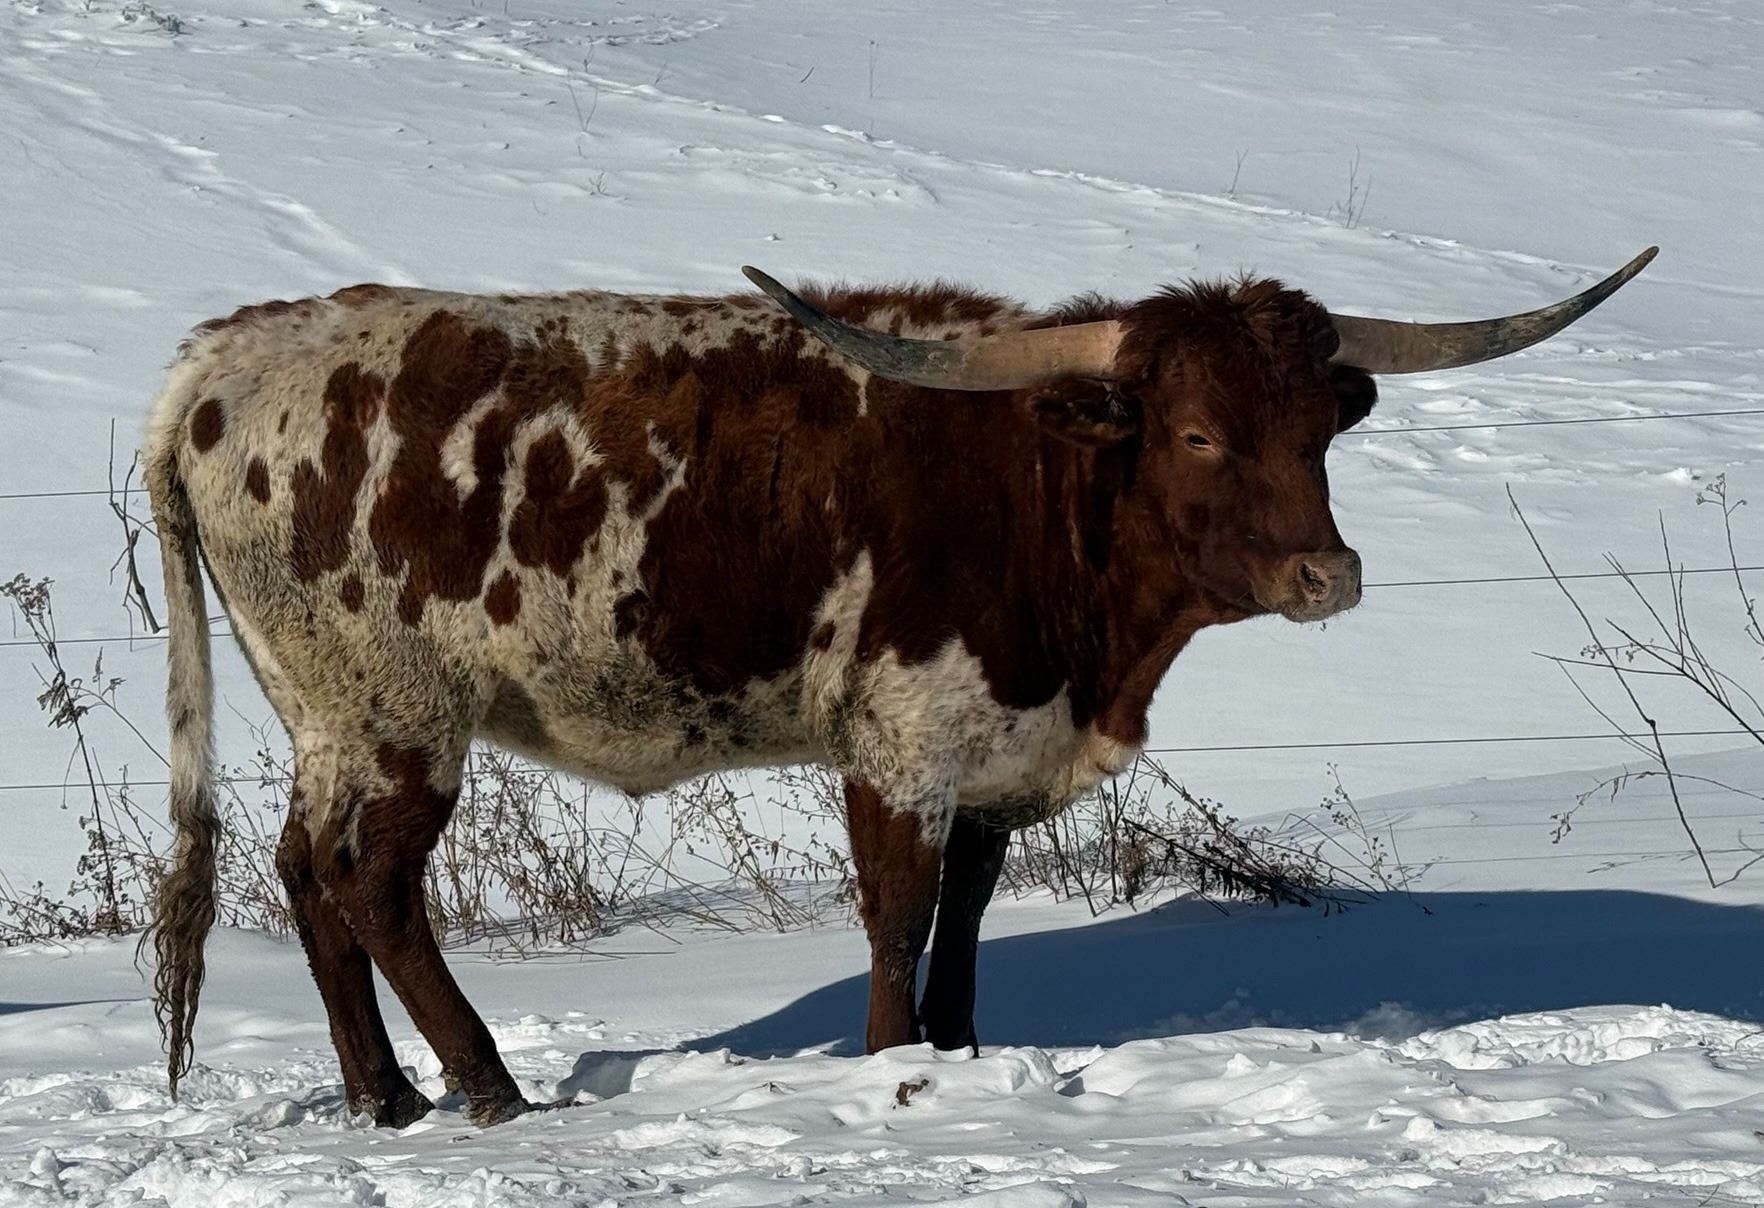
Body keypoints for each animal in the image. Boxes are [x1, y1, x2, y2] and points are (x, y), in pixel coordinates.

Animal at [143, 248, 1654, 1126]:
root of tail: (217, 361)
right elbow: (897, 913)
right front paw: (890, 1072)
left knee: (306, 874)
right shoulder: (901, 739)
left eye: (1315, 433)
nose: (1325, 573)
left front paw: (968, 1049)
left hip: (327, 711)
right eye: (1196, 432)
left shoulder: (1000, 751)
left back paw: (384, 1096)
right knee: (376, 885)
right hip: (400, 707)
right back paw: (487, 1086)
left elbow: (970, 917)